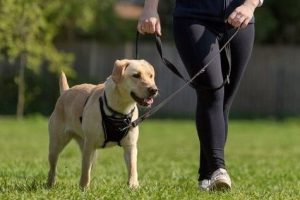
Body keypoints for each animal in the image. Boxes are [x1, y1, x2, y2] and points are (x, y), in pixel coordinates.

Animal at [47, 58, 158, 188]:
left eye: (151, 76)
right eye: (136, 75)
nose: (154, 90)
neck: (120, 110)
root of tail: (65, 92)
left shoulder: (130, 146)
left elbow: (132, 167)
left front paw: (133, 186)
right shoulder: (89, 144)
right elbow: (85, 170)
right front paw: (83, 188)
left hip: (89, 150)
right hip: (57, 144)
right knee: (54, 166)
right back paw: (50, 183)